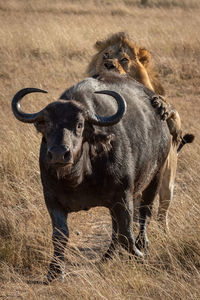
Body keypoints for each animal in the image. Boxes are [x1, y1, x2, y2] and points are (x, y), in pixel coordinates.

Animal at [11, 72, 170, 282]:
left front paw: (138, 257)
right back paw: (108, 256)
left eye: (79, 125)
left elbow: (126, 233)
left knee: (145, 213)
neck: (79, 177)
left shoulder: (123, 195)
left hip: (155, 177)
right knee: (115, 226)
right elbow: (60, 236)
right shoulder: (52, 199)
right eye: (47, 124)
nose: (59, 154)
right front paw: (55, 272)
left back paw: (142, 243)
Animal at [86, 32, 194, 230]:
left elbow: (174, 117)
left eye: (124, 59)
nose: (108, 65)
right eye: (106, 55)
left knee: (163, 209)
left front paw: (162, 106)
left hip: (167, 180)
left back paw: (162, 230)